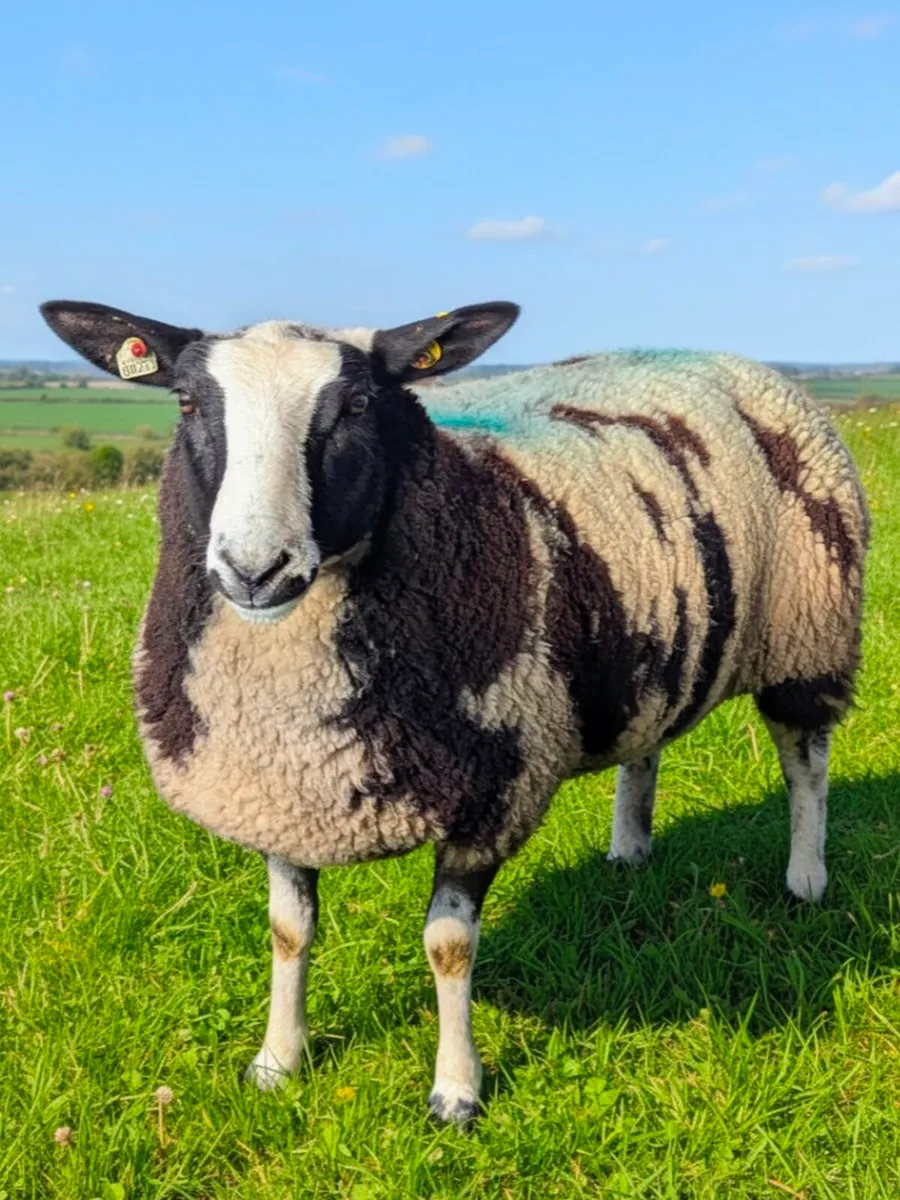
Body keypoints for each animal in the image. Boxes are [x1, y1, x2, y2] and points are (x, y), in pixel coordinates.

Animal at [40, 297, 868, 1124]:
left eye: (358, 404)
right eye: (185, 402)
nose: (254, 570)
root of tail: (727, 358)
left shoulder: (496, 787)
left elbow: (448, 945)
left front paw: (456, 1092)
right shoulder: (277, 789)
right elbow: (287, 932)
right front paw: (277, 1062)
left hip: (811, 631)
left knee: (805, 761)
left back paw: (806, 879)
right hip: (657, 637)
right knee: (647, 744)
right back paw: (630, 849)